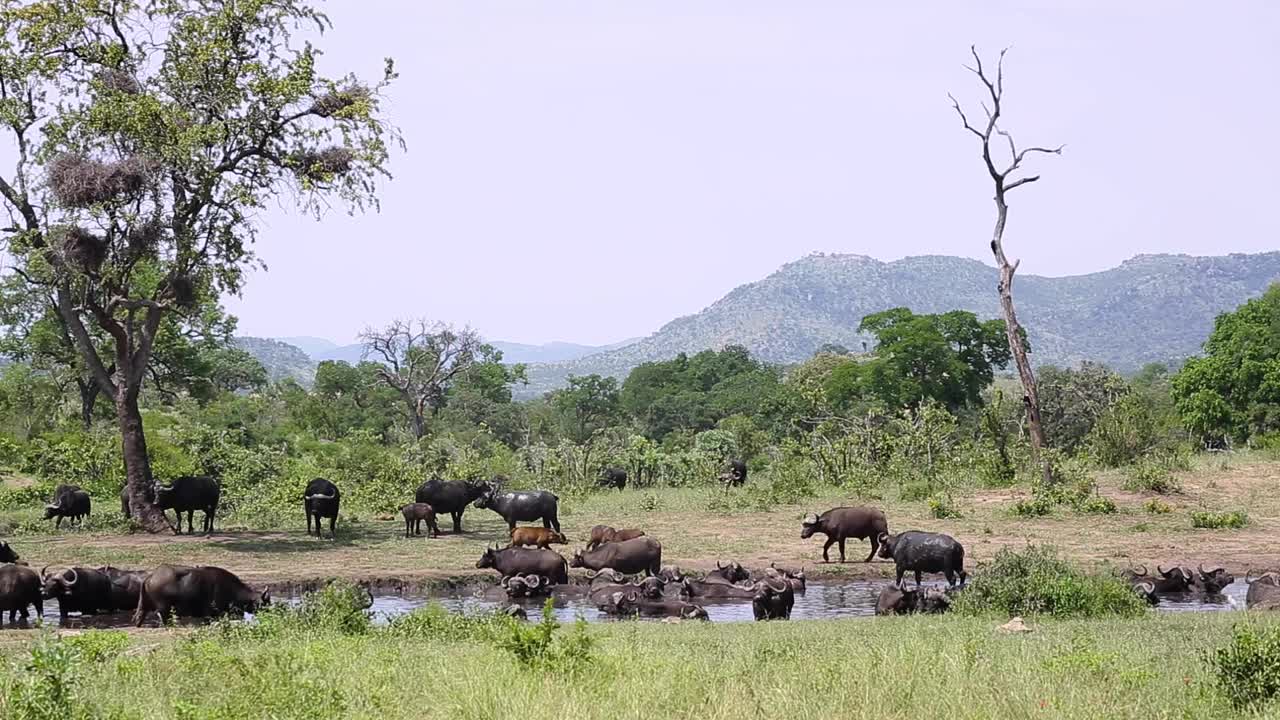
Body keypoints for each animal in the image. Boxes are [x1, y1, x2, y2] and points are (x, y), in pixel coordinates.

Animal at [132, 563, 267, 625]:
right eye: (264, 603)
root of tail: (152, 576)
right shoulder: (209, 613)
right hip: (164, 607)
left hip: (145, 604)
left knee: (140, 615)